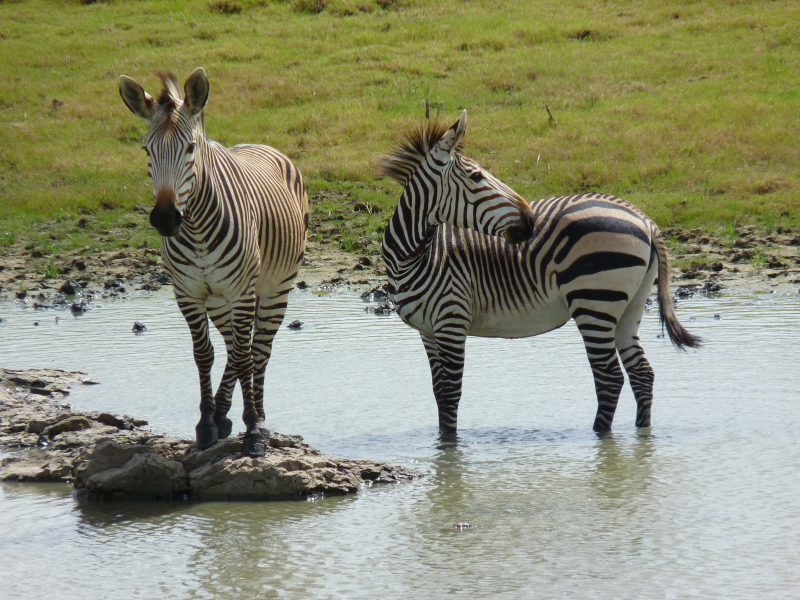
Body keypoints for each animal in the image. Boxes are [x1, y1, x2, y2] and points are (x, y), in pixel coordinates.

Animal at [119, 68, 310, 458]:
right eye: (146, 150)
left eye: (191, 148)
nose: (165, 219)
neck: (195, 230)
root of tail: (263, 145)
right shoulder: (188, 293)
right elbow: (204, 354)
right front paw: (206, 424)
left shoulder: (241, 291)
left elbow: (246, 355)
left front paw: (253, 431)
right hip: (220, 301)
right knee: (233, 347)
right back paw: (222, 414)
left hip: (273, 289)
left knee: (257, 350)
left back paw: (258, 417)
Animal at [378, 110, 696, 434]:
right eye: (477, 176)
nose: (531, 219)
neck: (413, 258)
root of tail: (645, 220)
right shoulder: (428, 331)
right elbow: (439, 393)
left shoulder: (451, 320)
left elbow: (450, 394)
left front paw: (450, 444)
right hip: (630, 306)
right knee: (642, 374)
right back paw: (642, 433)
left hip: (594, 301)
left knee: (609, 378)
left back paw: (600, 435)